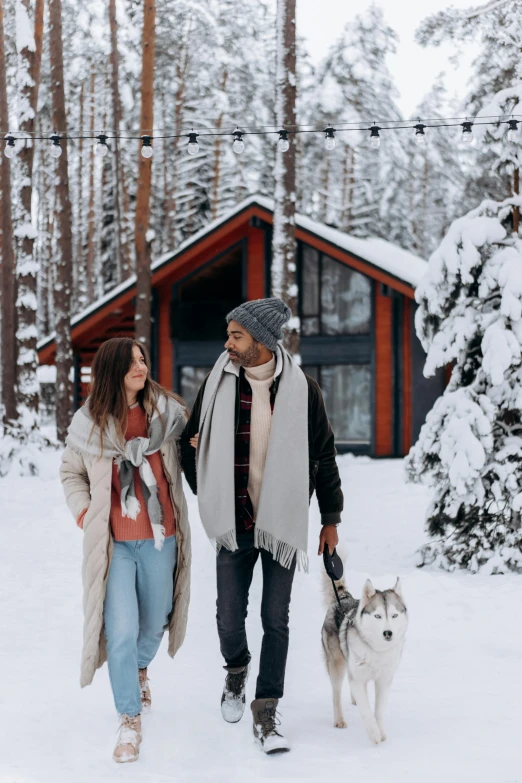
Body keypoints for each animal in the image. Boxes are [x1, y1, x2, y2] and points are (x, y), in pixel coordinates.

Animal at [318, 568, 408, 748]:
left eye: (394, 616)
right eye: (378, 616)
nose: (388, 633)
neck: (377, 650)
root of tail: (344, 598)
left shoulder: (384, 680)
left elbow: (378, 710)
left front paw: (381, 732)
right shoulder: (358, 679)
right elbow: (366, 710)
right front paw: (374, 734)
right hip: (337, 665)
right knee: (336, 694)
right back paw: (339, 720)